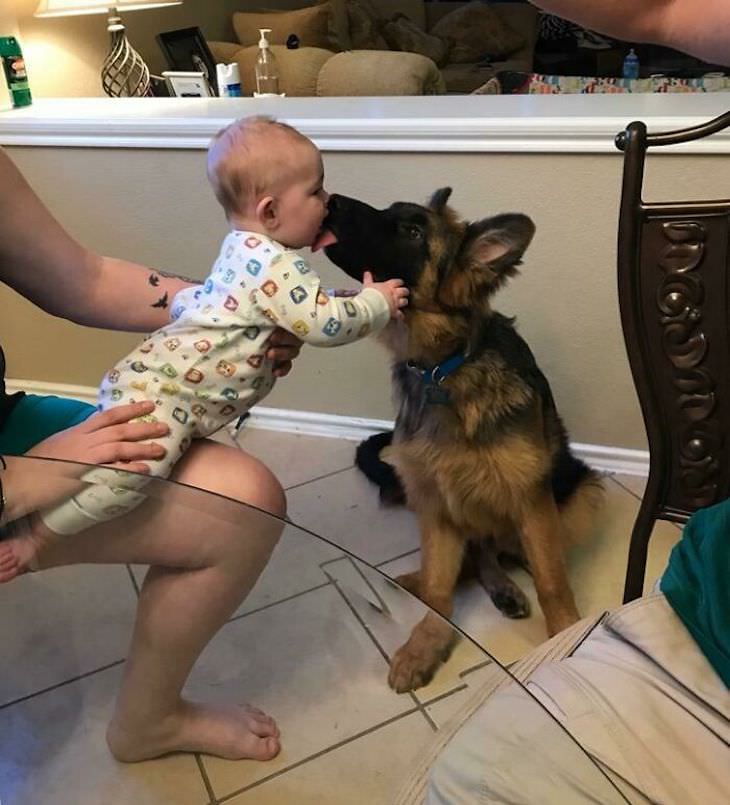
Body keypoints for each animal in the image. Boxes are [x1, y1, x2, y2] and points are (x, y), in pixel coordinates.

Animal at [324, 188, 604, 692]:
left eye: (413, 231)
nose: (329, 198)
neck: (443, 368)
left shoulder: (530, 498)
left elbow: (552, 580)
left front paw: (563, 635)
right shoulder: (434, 499)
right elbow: (440, 588)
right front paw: (426, 643)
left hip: (581, 491)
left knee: (508, 549)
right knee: (473, 555)